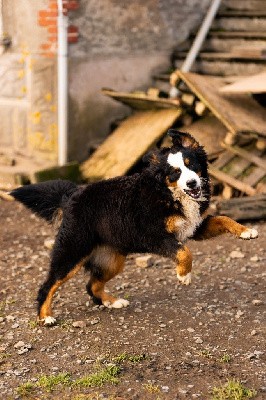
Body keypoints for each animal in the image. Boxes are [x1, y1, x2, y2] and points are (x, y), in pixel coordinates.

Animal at [10, 131, 258, 324]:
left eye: (191, 165)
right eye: (175, 172)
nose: (192, 183)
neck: (168, 193)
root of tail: (71, 195)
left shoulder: (193, 226)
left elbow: (223, 219)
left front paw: (247, 231)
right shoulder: (155, 235)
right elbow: (184, 252)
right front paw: (183, 275)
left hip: (112, 260)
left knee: (92, 285)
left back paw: (111, 302)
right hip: (72, 252)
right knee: (49, 285)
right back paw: (45, 316)